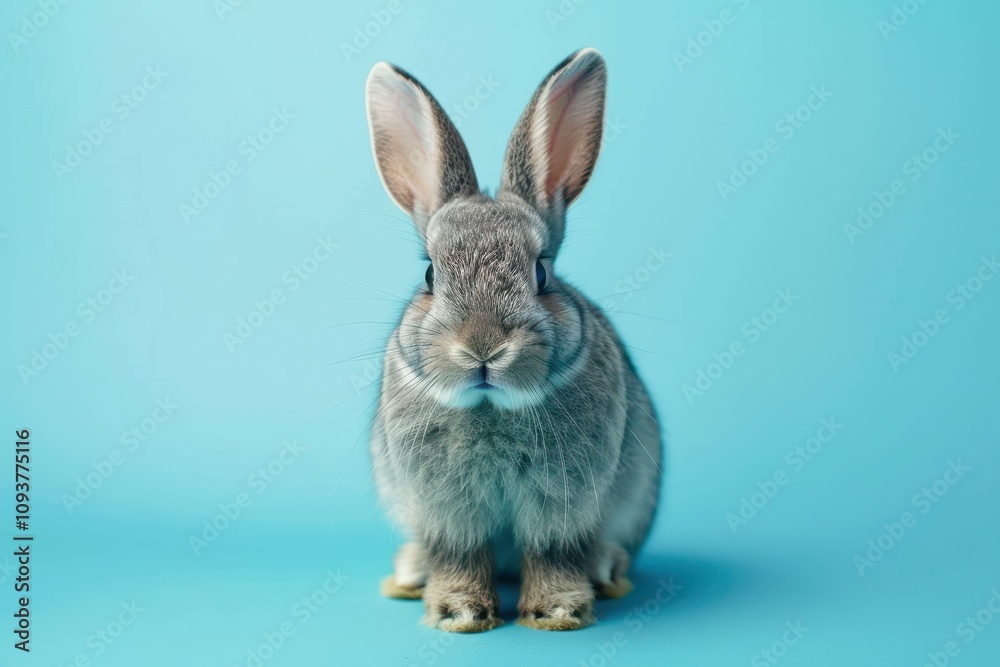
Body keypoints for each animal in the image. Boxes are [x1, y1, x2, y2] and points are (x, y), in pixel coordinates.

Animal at [364, 48, 663, 633]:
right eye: (431, 274)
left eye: (542, 273)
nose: (482, 347)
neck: (490, 407)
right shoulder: (446, 510)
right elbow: (459, 556)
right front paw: (458, 613)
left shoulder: (563, 504)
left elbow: (553, 554)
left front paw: (558, 611)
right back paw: (409, 574)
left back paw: (607, 570)